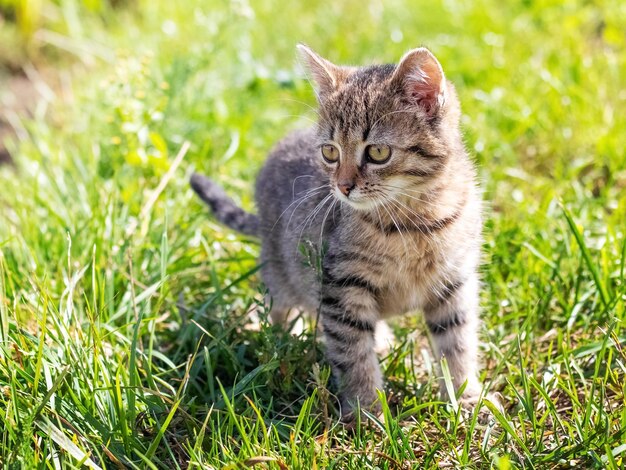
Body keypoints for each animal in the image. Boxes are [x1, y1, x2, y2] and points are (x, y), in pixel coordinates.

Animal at [189, 44, 488, 418]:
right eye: (330, 152)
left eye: (378, 152)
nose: (343, 187)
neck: (413, 221)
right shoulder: (340, 285)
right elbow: (353, 353)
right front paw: (366, 412)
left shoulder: (454, 282)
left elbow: (457, 343)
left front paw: (466, 398)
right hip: (282, 273)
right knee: (280, 309)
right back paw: (285, 337)